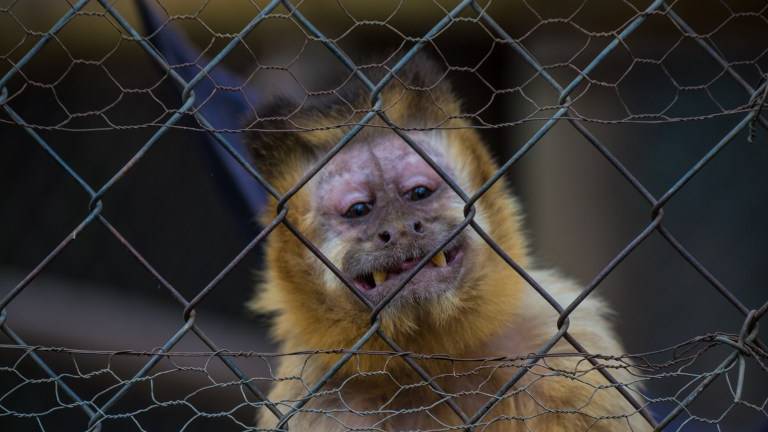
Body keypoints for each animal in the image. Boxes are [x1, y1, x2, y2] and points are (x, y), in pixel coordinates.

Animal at [245, 56, 651, 431]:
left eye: (418, 193)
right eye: (359, 210)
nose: (402, 228)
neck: (438, 363)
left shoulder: (567, 349)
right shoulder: (316, 402)